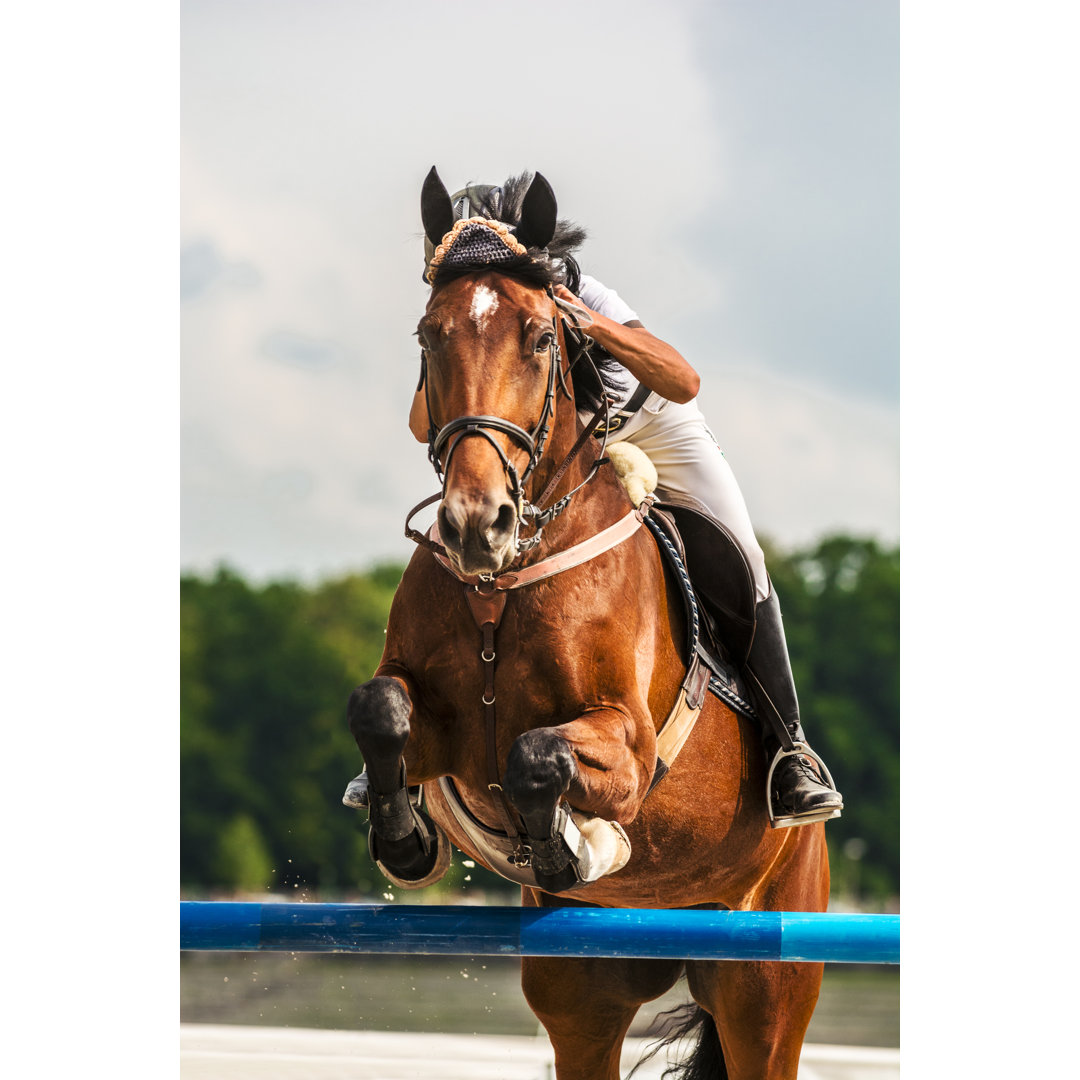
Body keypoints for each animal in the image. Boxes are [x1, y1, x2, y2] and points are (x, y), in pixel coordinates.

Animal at [341, 168, 829, 1080]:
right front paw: (405, 837)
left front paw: (573, 844)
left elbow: (539, 754)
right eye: (428, 337)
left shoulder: (629, 750)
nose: (476, 524)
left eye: (539, 338)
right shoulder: (437, 731)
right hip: (586, 995)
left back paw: (800, 784)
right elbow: (380, 710)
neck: (504, 579)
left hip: (767, 983)